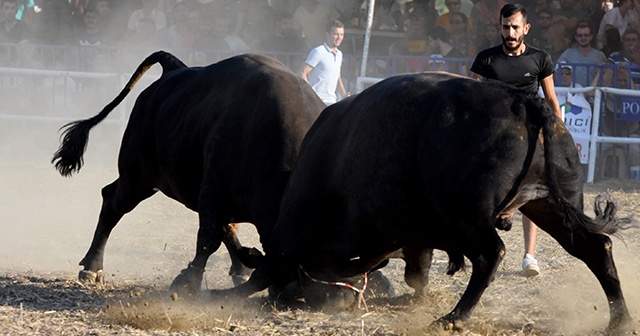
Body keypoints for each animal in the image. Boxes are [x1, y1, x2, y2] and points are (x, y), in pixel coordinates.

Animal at [51, 51, 324, 294]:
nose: (294, 293)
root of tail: (174, 69)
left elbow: (221, 231)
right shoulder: (213, 191)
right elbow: (208, 239)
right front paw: (188, 281)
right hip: (137, 177)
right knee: (111, 202)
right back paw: (92, 268)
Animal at [226, 72, 636, 330]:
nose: (283, 296)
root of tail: (523, 102)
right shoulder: (410, 236)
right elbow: (414, 269)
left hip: (470, 215)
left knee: (491, 254)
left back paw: (455, 317)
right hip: (550, 204)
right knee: (596, 246)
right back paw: (619, 319)